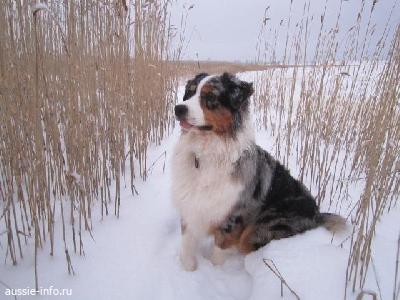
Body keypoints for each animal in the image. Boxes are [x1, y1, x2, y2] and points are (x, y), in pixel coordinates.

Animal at [170, 71, 346, 270]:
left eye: (210, 97)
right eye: (189, 93)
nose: (178, 109)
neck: (205, 153)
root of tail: (317, 215)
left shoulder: (232, 217)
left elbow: (218, 252)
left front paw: (215, 271)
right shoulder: (190, 207)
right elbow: (187, 243)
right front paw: (188, 269)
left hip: (259, 231)